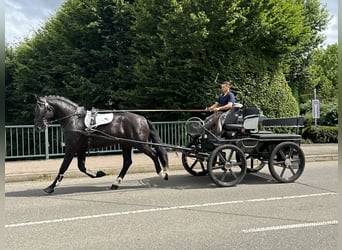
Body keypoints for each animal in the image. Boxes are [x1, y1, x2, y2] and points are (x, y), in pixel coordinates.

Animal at [34, 95, 169, 193]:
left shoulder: (72, 147)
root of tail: (143, 119)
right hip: (126, 144)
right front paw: (99, 174)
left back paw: (162, 174)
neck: (74, 120)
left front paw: (51, 187)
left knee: (154, 154)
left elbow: (64, 166)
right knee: (127, 162)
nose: (38, 127)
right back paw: (115, 183)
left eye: (41, 109)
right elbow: (81, 167)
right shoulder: (81, 148)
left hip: (140, 144)